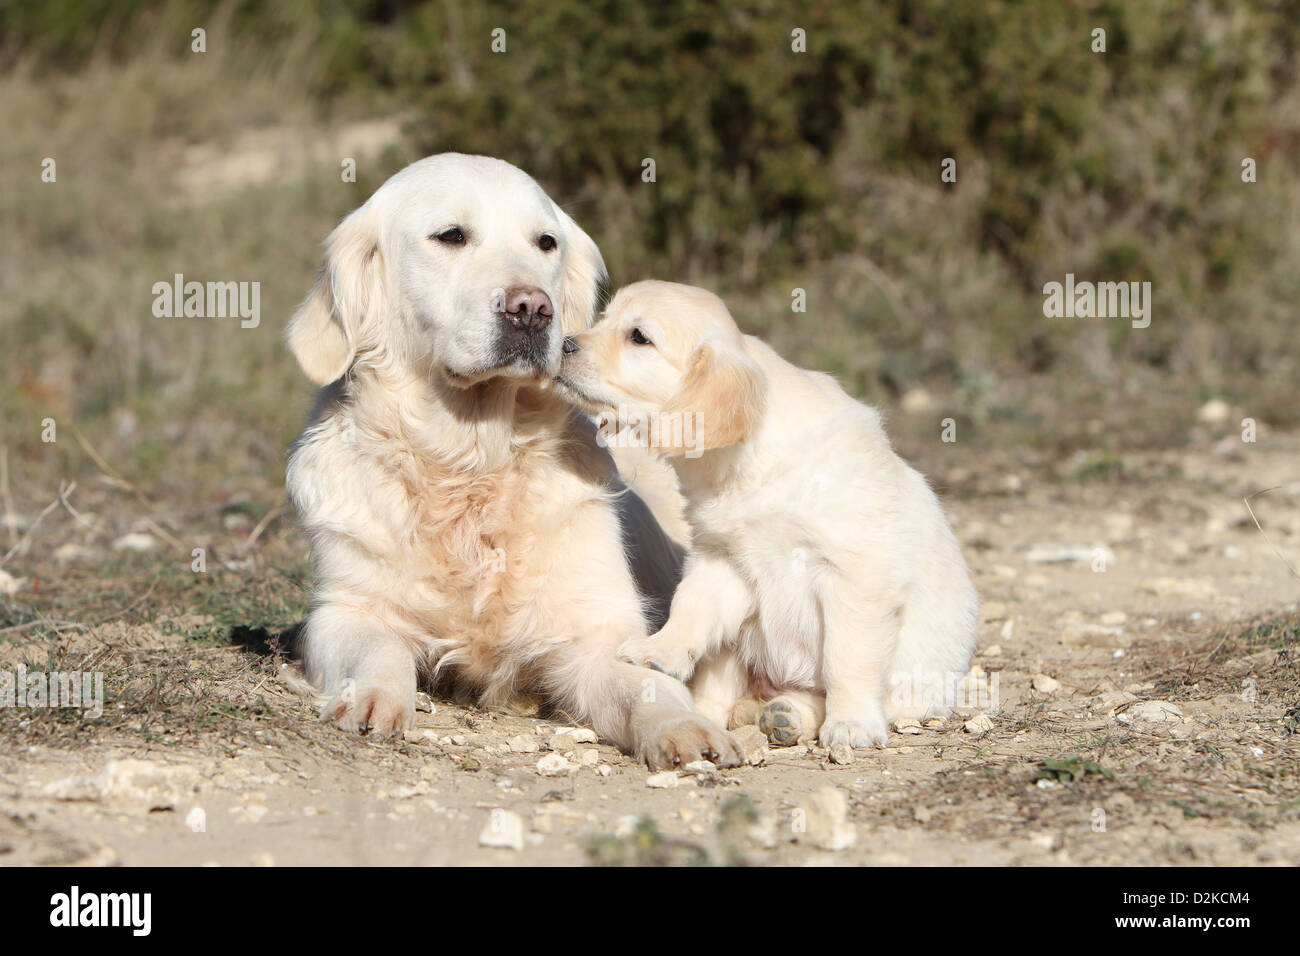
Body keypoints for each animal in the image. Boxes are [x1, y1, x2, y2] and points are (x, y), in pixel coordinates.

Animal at [289, 157, 748, 770]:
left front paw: (684, 728)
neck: (471, 458)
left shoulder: (596, 630)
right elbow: (376, 649)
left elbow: (644, 684)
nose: (532, 308)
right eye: (451, 236)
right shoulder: (344, 608)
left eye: (545, 242)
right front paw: (374, 698)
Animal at [556, 280, 977, 749]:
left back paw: (787, 715)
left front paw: (852, 722)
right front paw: (660, 650)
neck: (749, 461)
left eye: (639, 337)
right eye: (605, 318)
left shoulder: (854, 574)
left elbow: (846, 658)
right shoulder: (723, 558)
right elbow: (692, 607)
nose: (564, 343)